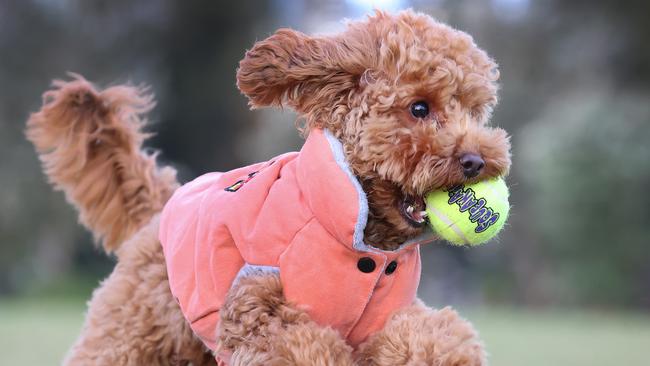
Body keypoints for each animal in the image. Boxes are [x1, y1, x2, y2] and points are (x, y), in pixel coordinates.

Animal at [27, 10, 508, 364]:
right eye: (419, 108)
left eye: (473, 111)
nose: (476, 161)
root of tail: (160, 208)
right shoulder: (255, 304)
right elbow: (299, 344)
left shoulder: (388, 317)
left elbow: (430, 337)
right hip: (133, 331)